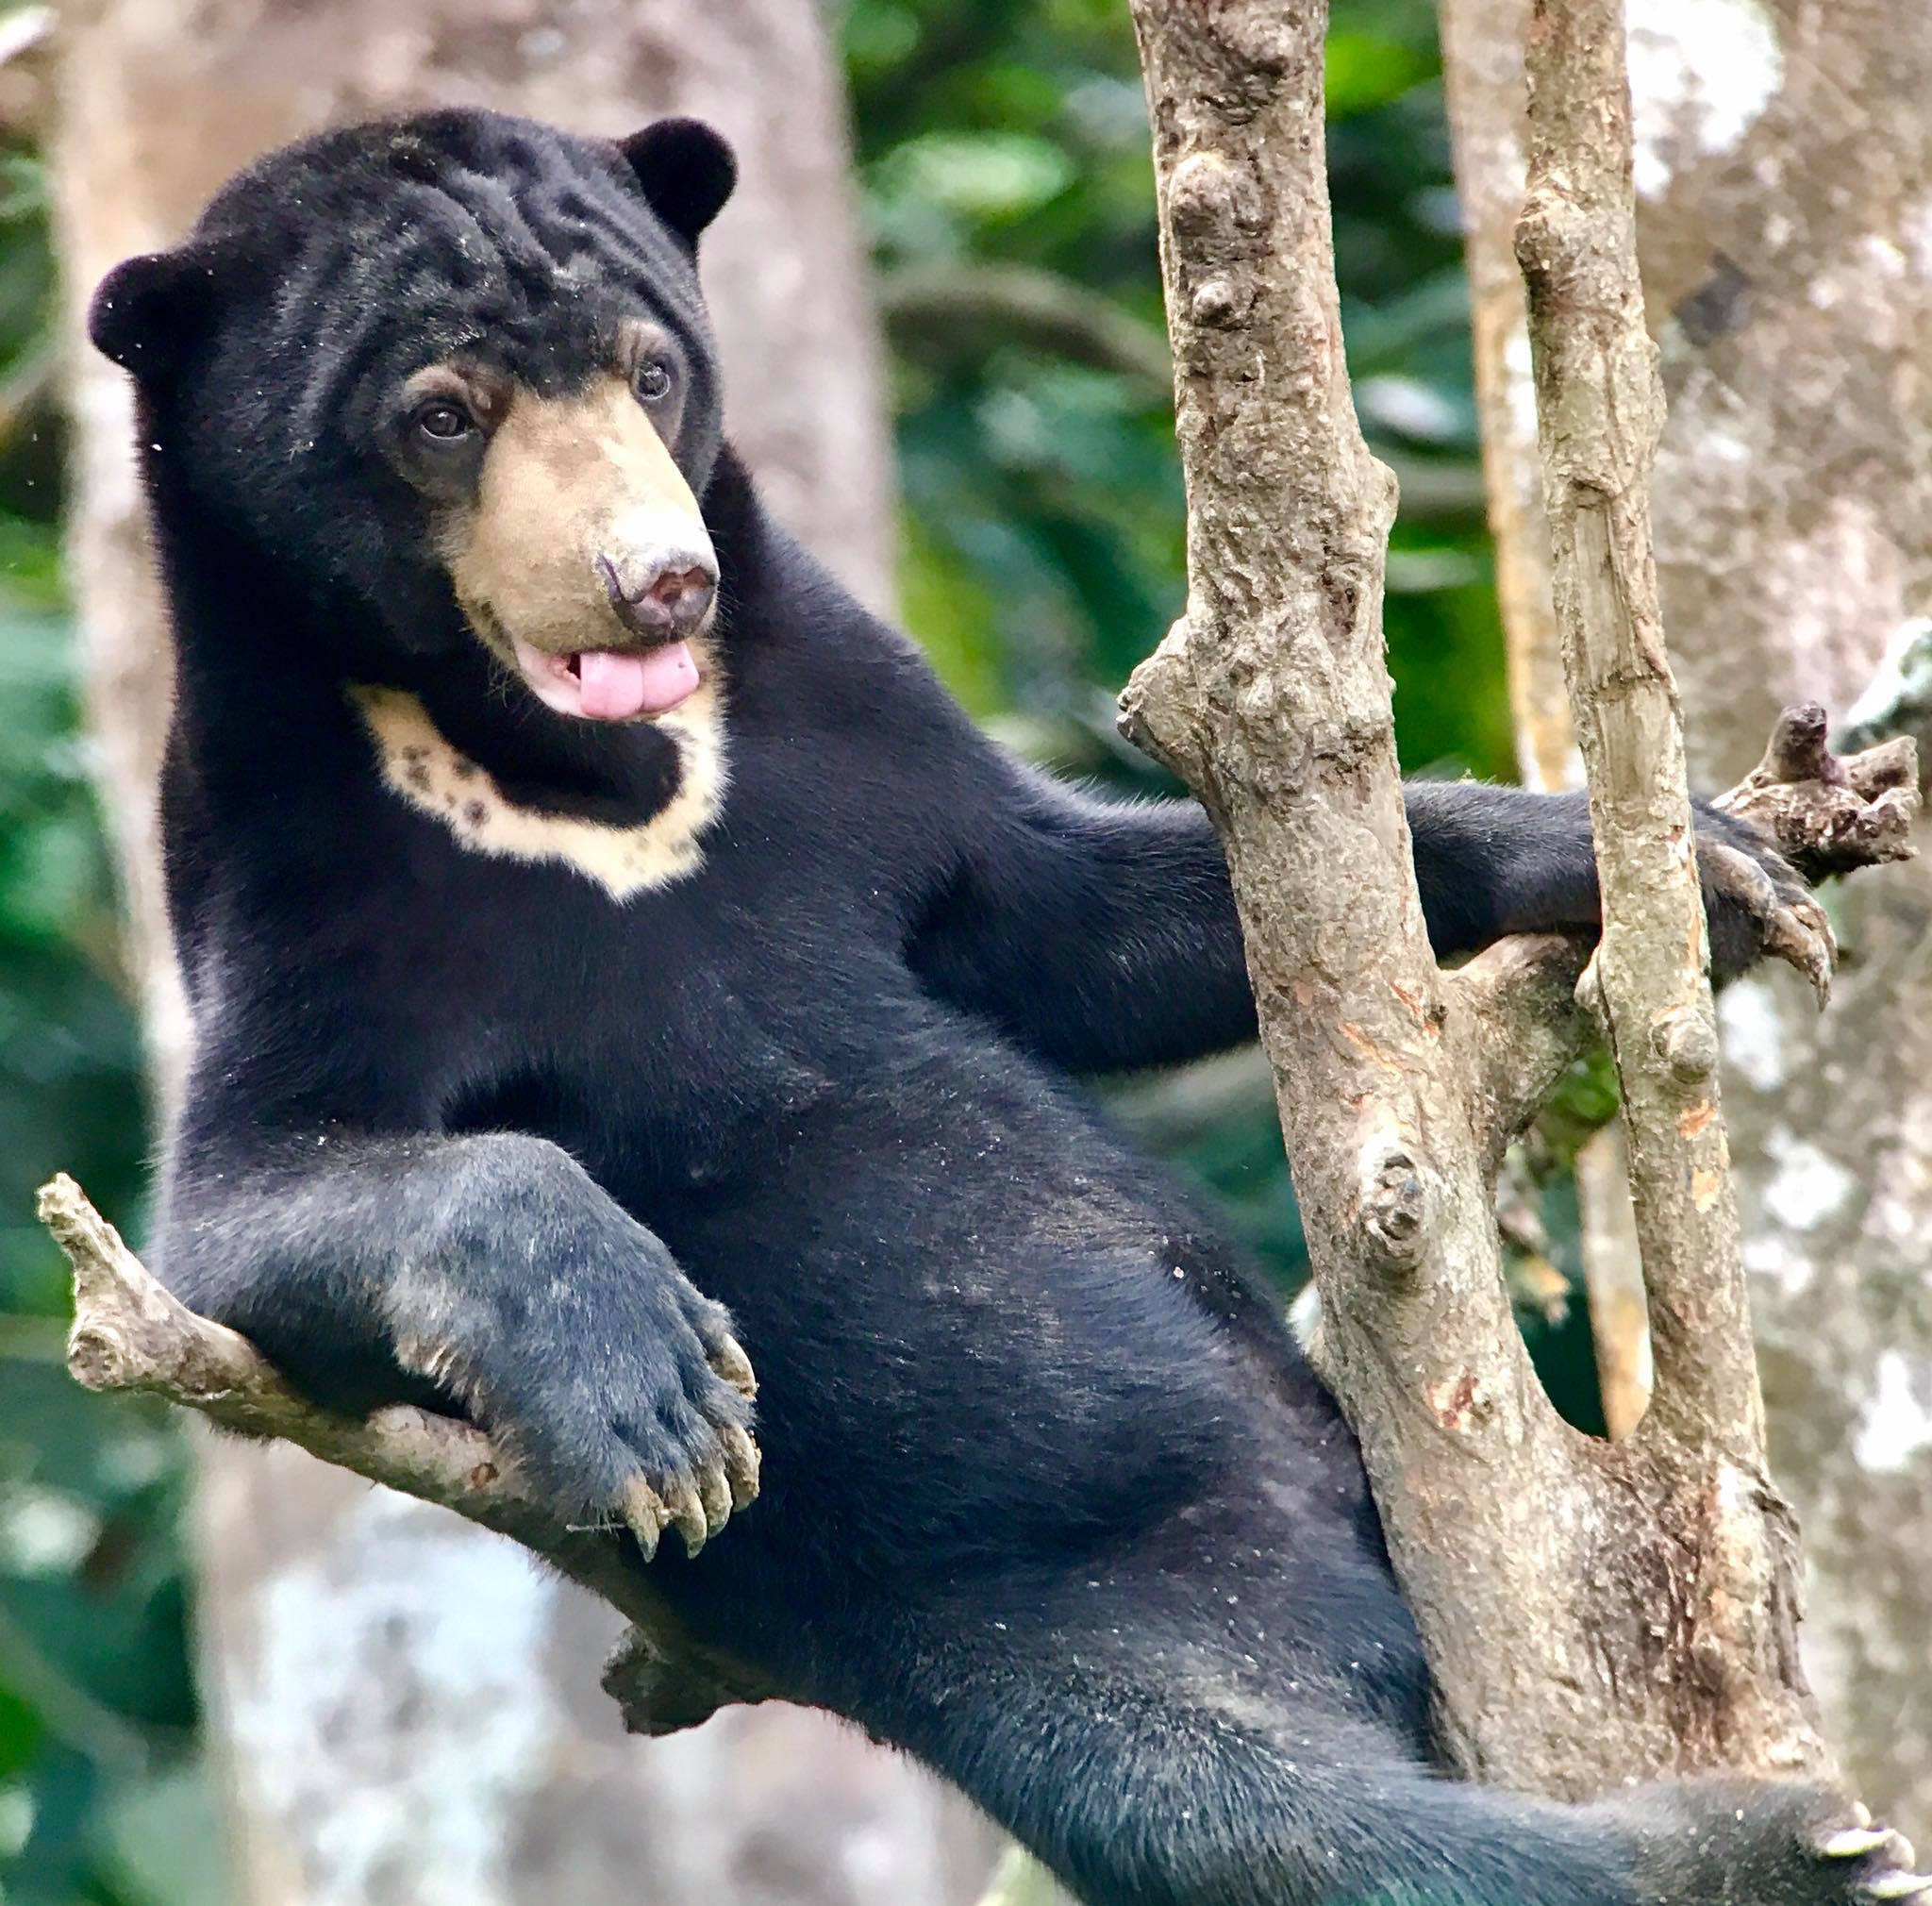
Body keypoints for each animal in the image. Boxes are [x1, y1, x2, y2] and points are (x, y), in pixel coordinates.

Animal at [87, 111, 1916, 1901]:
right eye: (440, 416)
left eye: (650, 371)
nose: (658, 584)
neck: (590, 775)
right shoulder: (299, 867)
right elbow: (248, 1209)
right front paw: (655, 1393)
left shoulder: (843, 703)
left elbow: (1068, 918)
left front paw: (1682, 861)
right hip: (1033, 1629)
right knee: (1272, 1828)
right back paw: (1778, 1853)